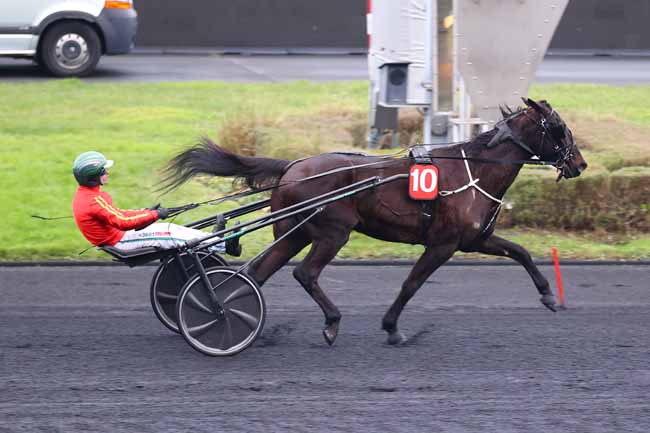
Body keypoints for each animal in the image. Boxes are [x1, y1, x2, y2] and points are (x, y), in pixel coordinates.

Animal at [163, 97, 588, 344]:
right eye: (560, 128)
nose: (580, 164)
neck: (474, 170)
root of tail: (292, 166)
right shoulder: (444, 243)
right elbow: (411, 284)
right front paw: (392, 328)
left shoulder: (475, 240)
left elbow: (521, 252)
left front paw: (549, 295)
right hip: (332, 232)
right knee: (304, 273)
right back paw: (329, 322)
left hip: (295, 233)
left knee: (258, 273)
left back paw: (222, 315)